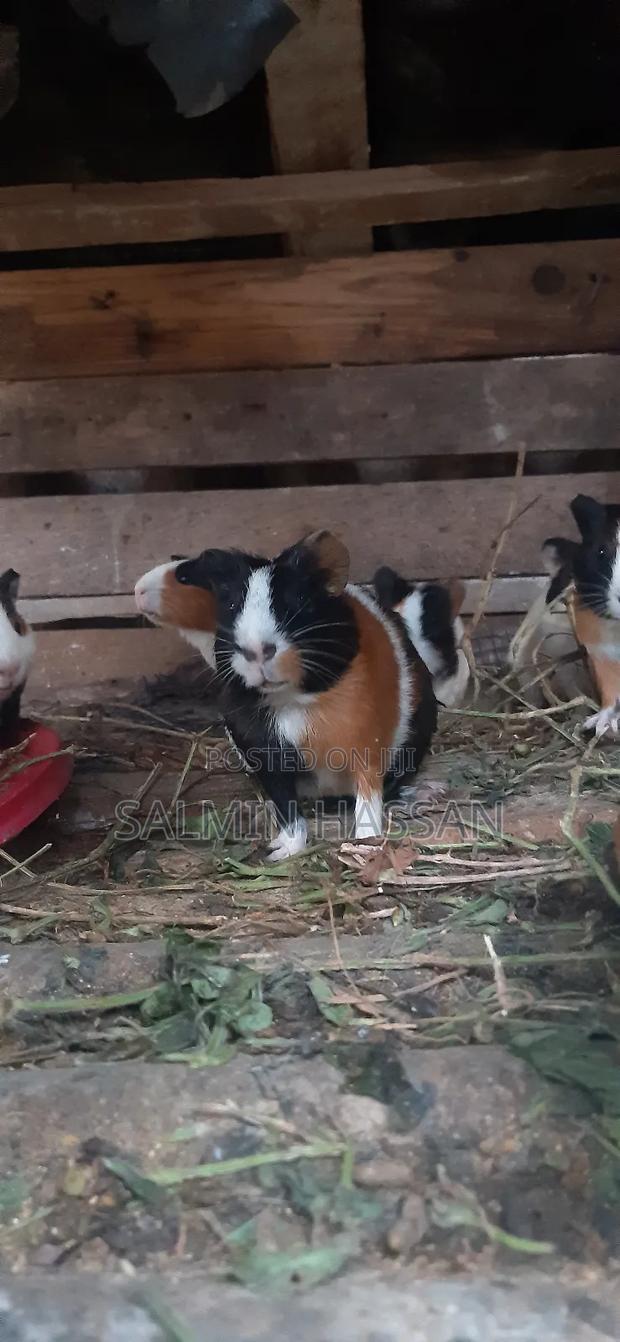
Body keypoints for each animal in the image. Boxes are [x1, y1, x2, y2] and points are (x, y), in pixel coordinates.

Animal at [174, 531, 437, 860]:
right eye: (232, 604)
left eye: (298, 600)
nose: (256, 650)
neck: (293, 702)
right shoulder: (268, 761)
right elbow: (288, 811)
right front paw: (278, 853)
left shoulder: (367, 747)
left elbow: (368, 801)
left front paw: (365, 845)